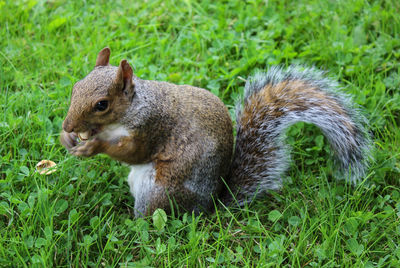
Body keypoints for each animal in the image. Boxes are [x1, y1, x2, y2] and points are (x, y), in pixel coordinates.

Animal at [60, 47, 372, 217]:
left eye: (102, 104)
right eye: (75, 87)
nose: (67, 125)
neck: (131, 108)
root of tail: (207, 209)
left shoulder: (150, 127)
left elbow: (132, 152)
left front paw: (94, 146)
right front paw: (68, 139)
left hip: (158, 193)